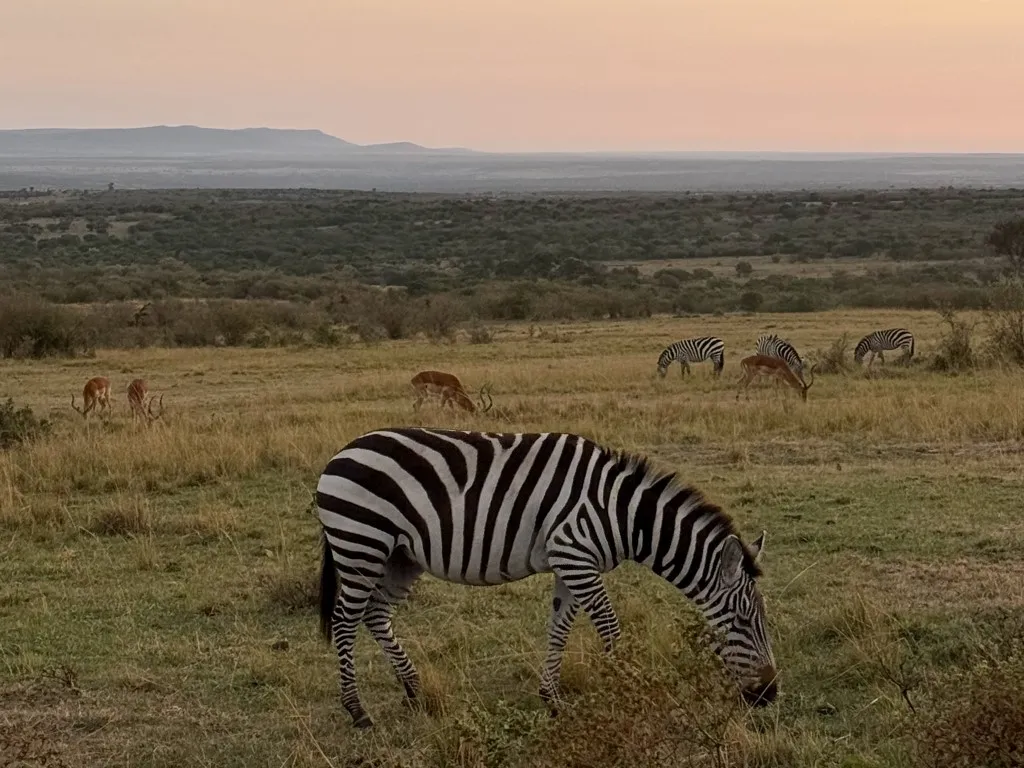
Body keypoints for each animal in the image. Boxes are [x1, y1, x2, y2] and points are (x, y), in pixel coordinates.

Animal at [317, 427, 778, 728]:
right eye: (743, 621)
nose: (769, 695)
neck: (624, 515)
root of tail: (340, 453)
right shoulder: (574, 555)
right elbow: (610, 628)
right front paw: (627, 692)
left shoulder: (570, 564)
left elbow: (559, 629)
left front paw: (552, 700)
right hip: (361, 544)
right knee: (344, 621)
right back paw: (357, 711)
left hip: (400, 556)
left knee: (376, 615)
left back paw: (414, 691)